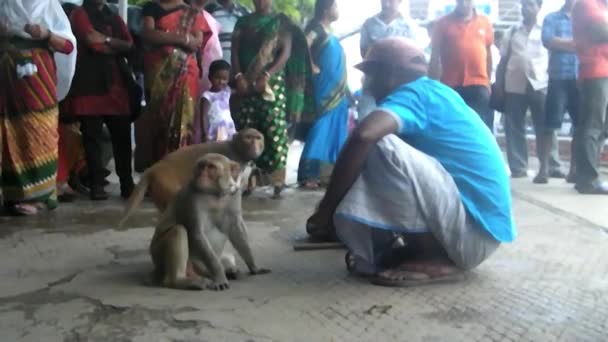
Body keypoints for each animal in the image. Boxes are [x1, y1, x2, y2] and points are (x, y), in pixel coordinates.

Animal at [116, 128, 264, 230]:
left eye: (258, 138)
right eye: (248, 138)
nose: (254, 145)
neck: (237, 150)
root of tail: (153, 169)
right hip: (165, 181)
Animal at [148, 154, 270, 290]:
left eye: (211, 167)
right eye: (201, 166)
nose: (201, 175)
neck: (216, 193)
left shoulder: (234, 194)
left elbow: (236, 230)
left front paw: (254, 267)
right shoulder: (193, 197)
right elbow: (197, 233)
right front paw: (219, 275)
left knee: (228, 258)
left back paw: (229, 271)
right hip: (158, 254)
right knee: (178, 230)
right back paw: (179, 280)